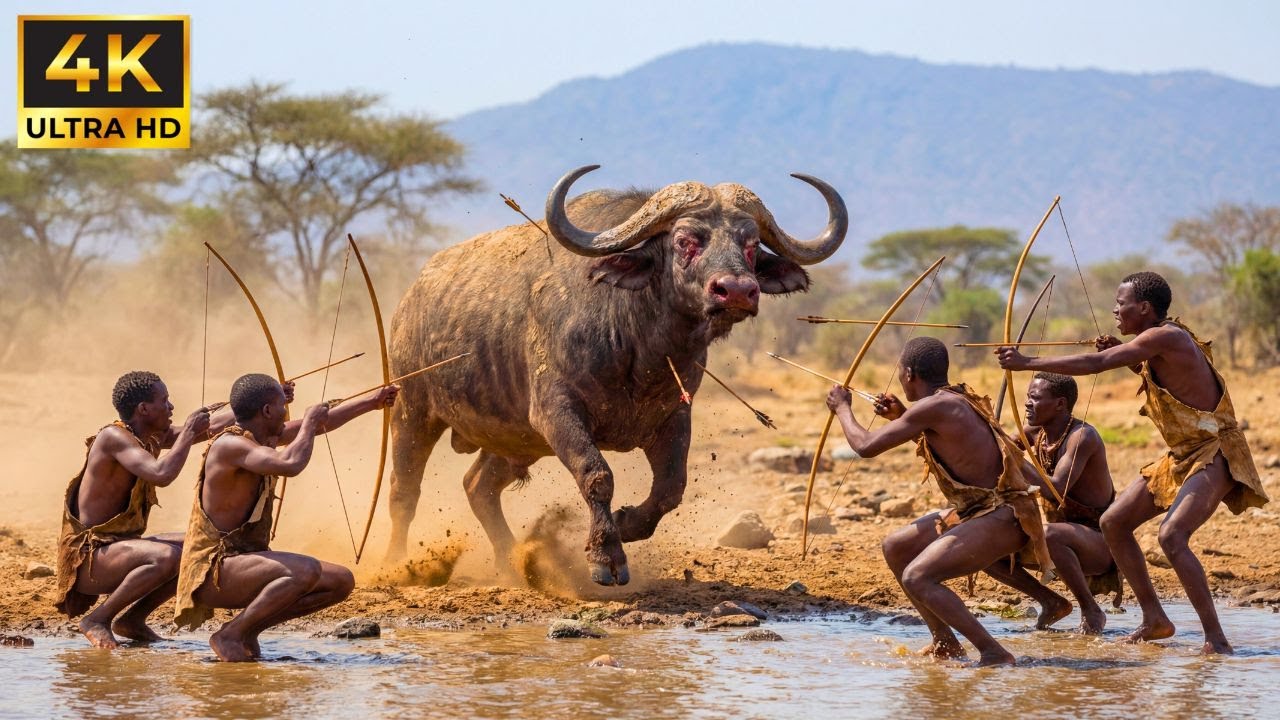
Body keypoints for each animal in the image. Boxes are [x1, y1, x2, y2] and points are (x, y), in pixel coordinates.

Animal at [386, 165, 848, 585]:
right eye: (685, 240)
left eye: (751, 244)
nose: (736, 290)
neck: (639, 349)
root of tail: (411, 297)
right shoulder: (558, 412)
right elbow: (597, 475)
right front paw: (606, 557)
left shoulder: (674, 416)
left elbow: (670, 488)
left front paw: (626, 525)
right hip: (412, 410)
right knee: (404, 490)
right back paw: (397, 564)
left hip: (514, 440)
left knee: (477, 486)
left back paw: (512, 562)